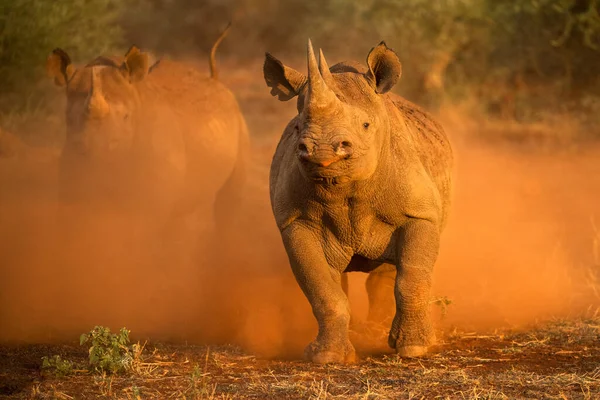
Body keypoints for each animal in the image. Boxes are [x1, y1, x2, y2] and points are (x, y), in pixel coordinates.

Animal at [264, 42, 454, 364]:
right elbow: (322, 289)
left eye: (366, 125)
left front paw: (415, 348)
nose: (322, 150)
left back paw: (378, 331)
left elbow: (411, 278)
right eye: (298, 127)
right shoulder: (296, 222)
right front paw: (327, 356)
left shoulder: (421, 214)